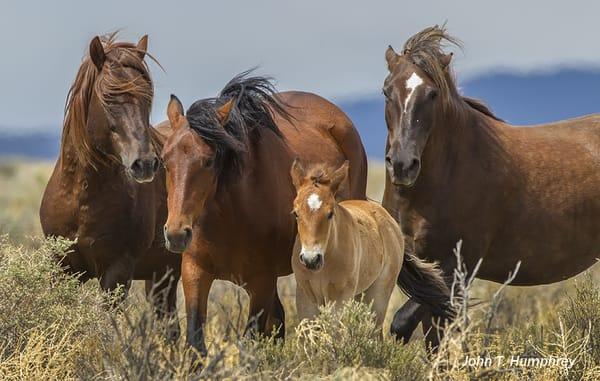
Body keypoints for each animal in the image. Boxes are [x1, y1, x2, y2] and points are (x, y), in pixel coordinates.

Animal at [39, 32, 179, 320]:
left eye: (148, 96)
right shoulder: (61, 267)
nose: (145, 164)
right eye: (109, 96)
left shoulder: (117, 272)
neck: (80, 195)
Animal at [159, 72, 370, 354]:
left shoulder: (261, 284)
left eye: (209, 161)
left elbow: (250, 342)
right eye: (164, 160)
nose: (176, 234)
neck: (230, 217)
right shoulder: (195, 272)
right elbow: (196, 342)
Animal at [290, 159, 450, 332]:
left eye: (330, 213)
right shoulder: (305, 299)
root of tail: (385, 215)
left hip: (378, 296)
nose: (311, 259)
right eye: (296, 213)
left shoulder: (339, 299)